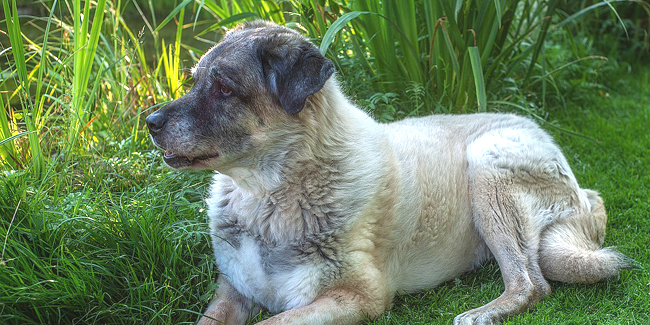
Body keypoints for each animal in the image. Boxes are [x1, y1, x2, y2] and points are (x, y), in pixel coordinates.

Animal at [146, 20, 628, 324]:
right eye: (194, 80)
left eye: (224, 88)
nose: (149, 122)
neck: (266, 196)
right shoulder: (232, 290)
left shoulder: (357, 296)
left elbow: (272, 323)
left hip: (486, 167)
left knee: (532, 284)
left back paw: (481, 313)